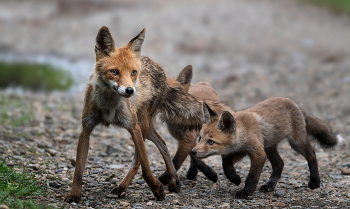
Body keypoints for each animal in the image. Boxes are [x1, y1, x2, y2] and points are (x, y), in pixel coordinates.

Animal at [191, 97, 342, 198]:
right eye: (200, 138)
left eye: (211, 142)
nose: (193, 152)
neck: (244, 130)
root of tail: (294, 103)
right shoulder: (242, 150)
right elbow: (225, 162)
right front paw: (234, 178)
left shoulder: (258, 153)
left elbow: (252, 177)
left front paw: (246, 192)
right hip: (269, 146)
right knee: (279, 164)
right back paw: (270, 186)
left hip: (296, 143)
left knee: (312, 156)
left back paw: (315, 182)